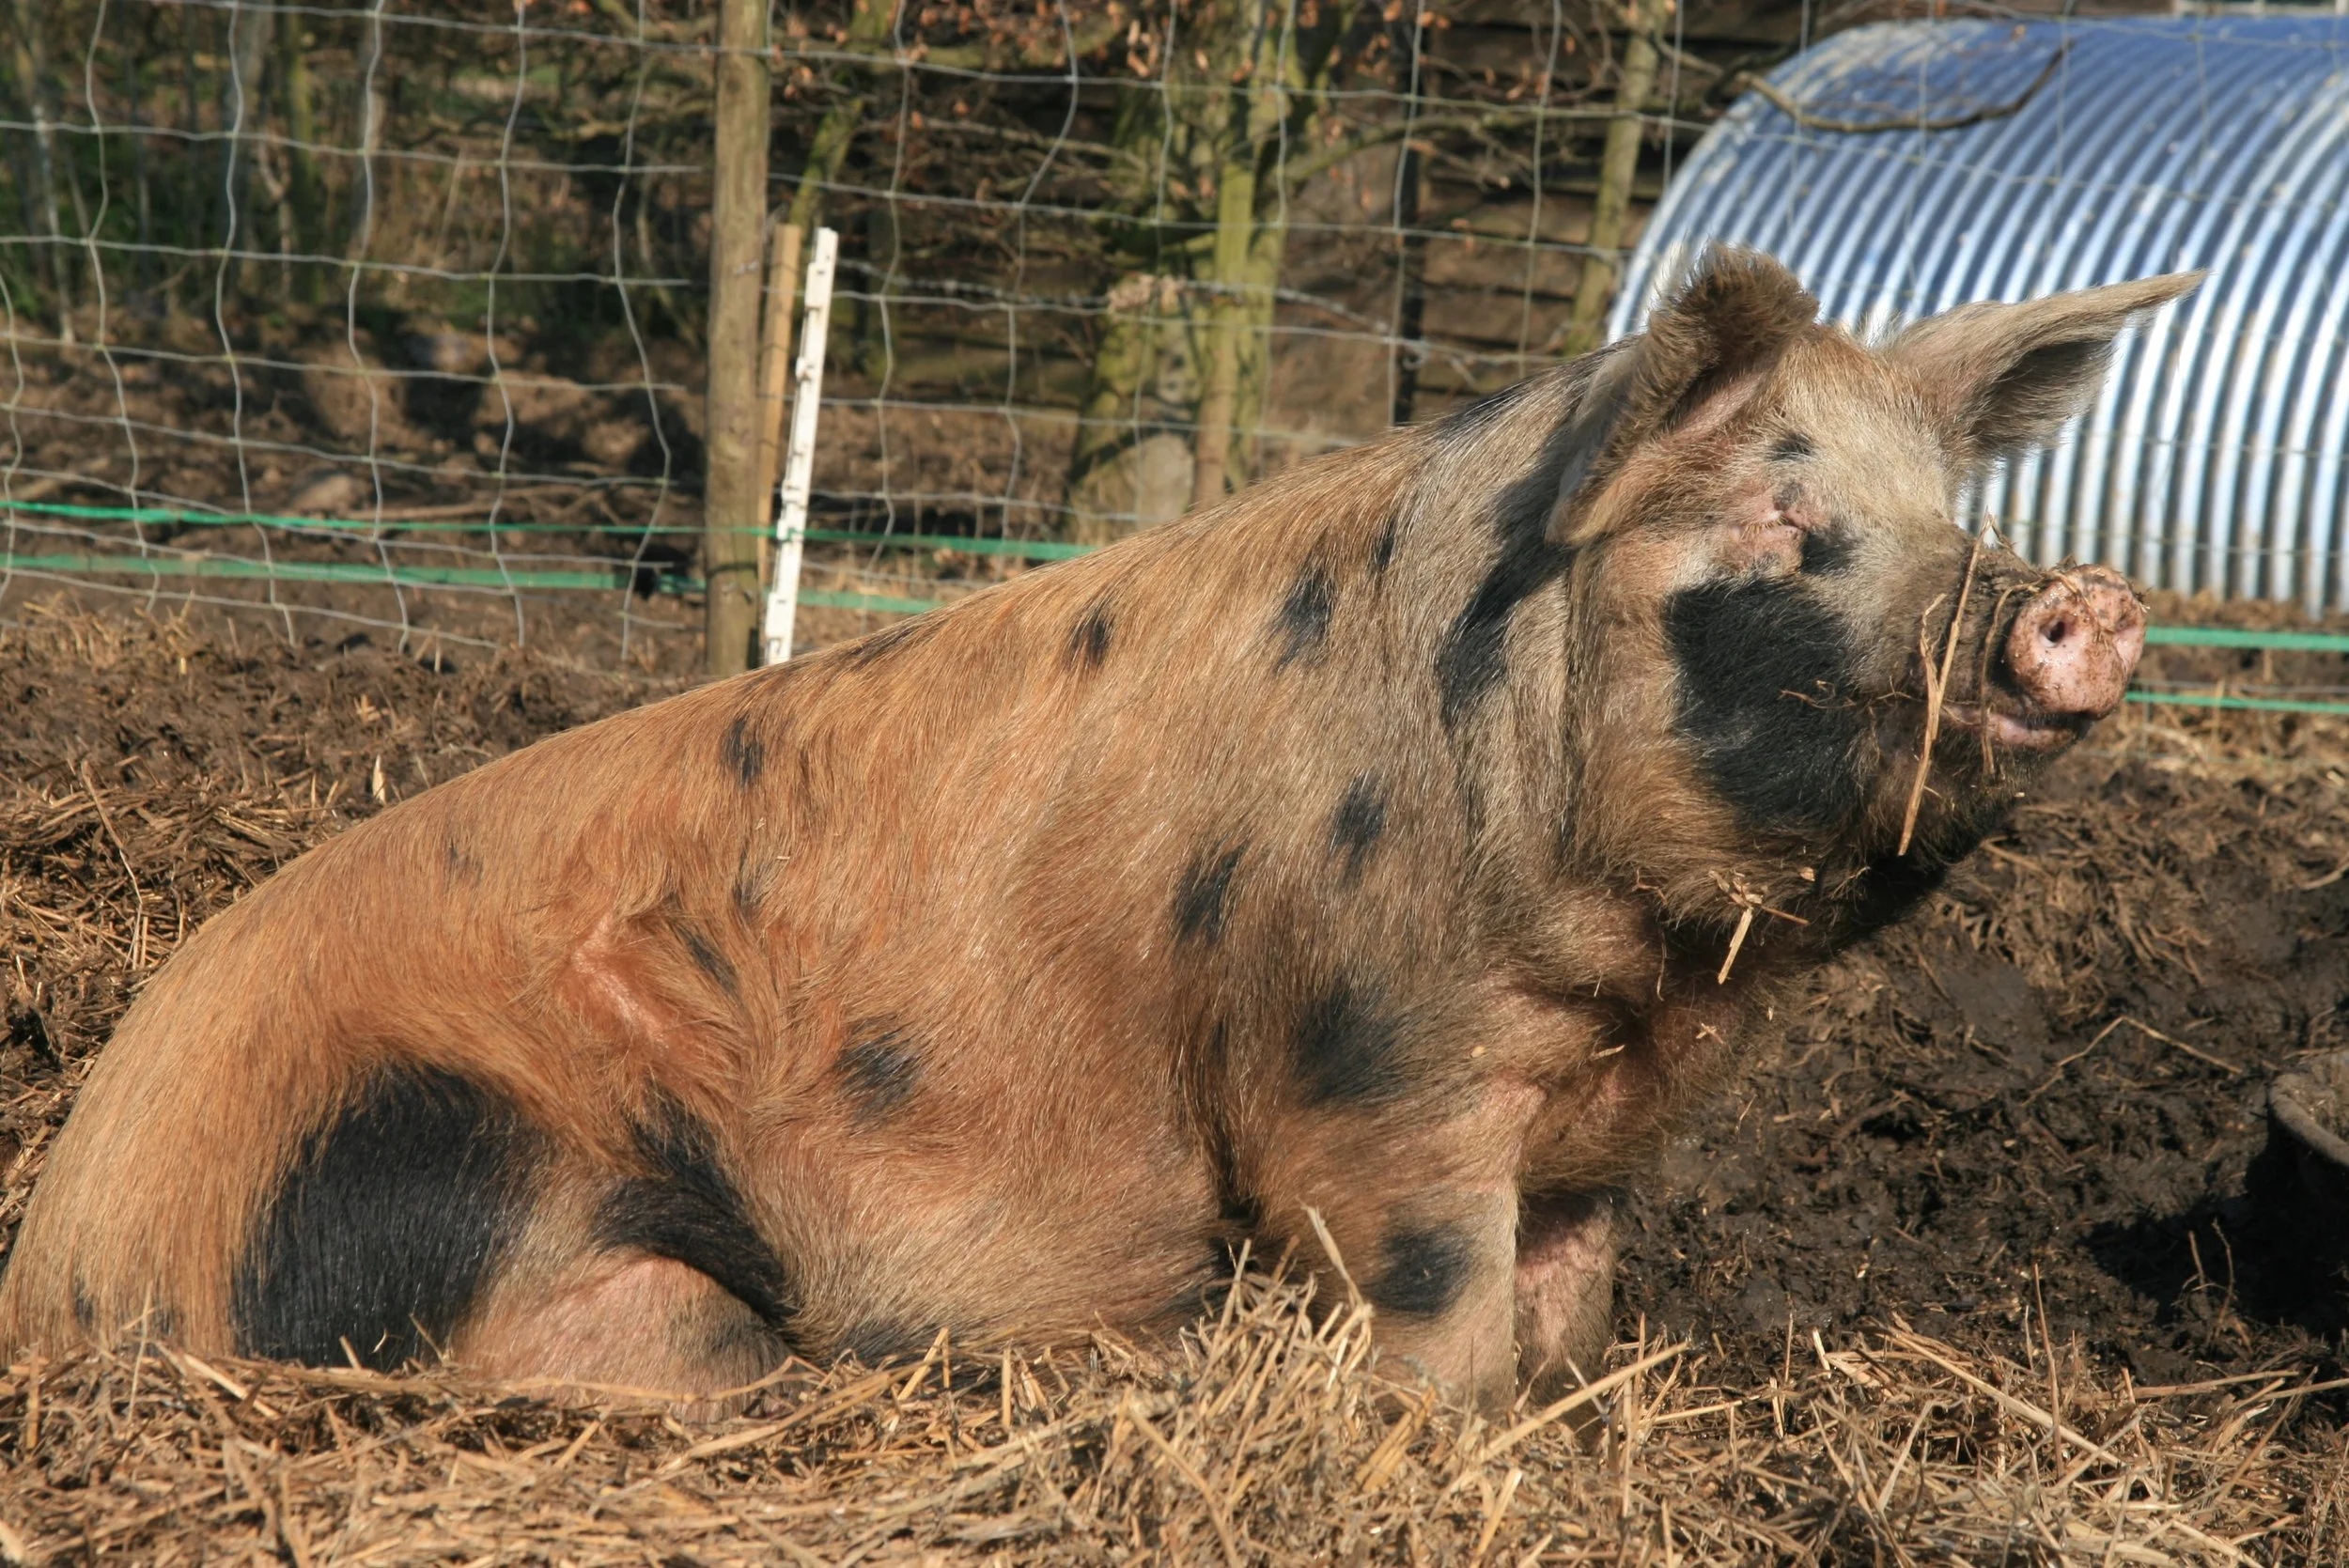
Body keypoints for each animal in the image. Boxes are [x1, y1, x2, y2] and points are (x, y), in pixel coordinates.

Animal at [0, 251, 2194, 1413]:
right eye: (1771, 513)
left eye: (1939, 511)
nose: (2070, 598)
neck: (1632, 996)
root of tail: (67, 1246)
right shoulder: (1362, 1071)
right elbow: (1423, 1294)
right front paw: (1444, 1441)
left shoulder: (1586, 1141)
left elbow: (1562, 1299)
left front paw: (1560, 1417)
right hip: (455, 1167)